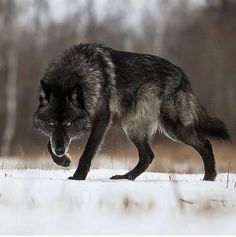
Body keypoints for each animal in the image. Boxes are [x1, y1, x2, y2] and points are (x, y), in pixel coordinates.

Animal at [32, 42, 230, 181]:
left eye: (68, 123)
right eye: (51, 123)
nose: (60, 151)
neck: (75, 71)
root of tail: (184, 77)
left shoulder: (102, 120)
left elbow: (88, 152)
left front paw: (78, 177)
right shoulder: (58, 135)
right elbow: (48, 144)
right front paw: (62, 160)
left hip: (172, 128)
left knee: (205, 144)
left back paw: (209, 178)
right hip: (133, 127)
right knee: (148, 156)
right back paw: (125, 178)